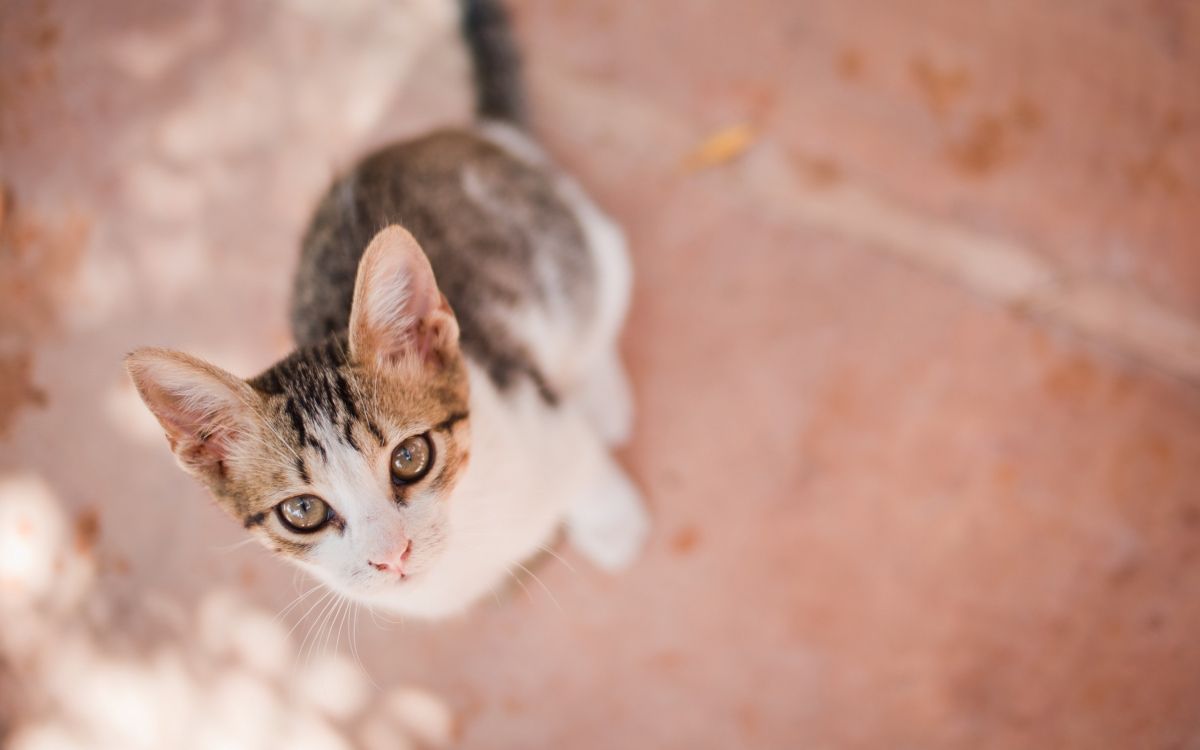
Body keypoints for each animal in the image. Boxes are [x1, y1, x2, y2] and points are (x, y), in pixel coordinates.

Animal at [124, 0, 648, 619]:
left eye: (409, 457)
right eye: (303, 512)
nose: (392, 556)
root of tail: (473, 132)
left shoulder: (531, 408)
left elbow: (580, 459)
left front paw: (613, 521)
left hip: (578, 250)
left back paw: (600, 393)